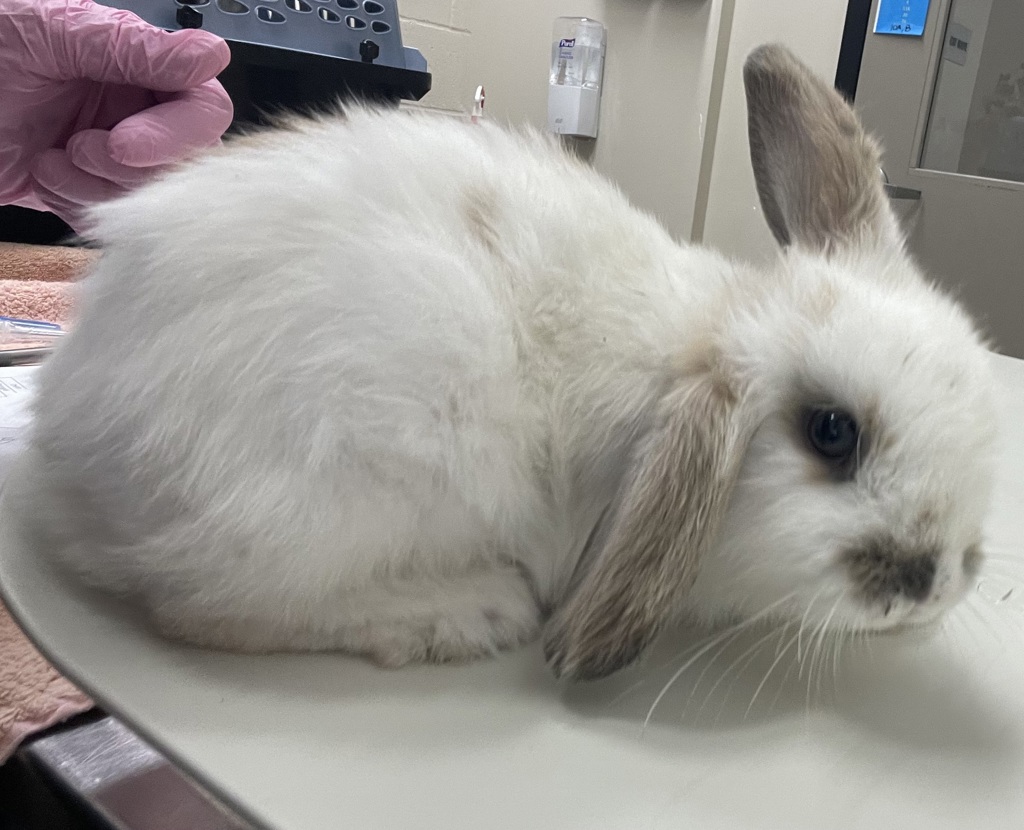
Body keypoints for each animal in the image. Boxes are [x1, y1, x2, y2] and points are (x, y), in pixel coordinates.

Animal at [10, 44, 997, 682]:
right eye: (831, 433)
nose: (936, 580)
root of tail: (67, 438)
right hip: (354, 472)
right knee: (209, 608)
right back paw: (467, 613)